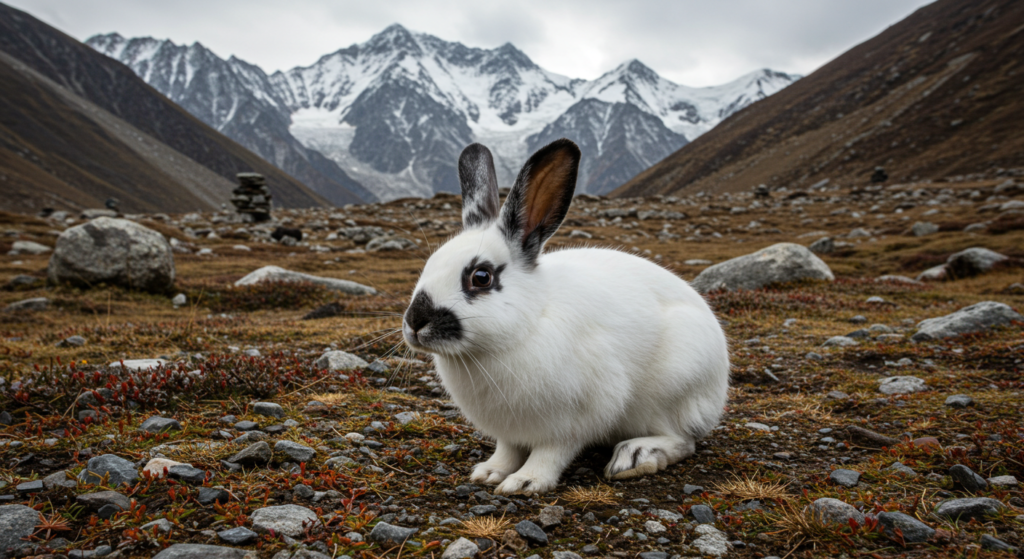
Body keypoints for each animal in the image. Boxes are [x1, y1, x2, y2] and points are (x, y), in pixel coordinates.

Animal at [399, 137, 729, 493]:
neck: (526, 324)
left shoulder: (574, 419)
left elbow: (552, 452)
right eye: (430, 263)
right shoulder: (509, 431)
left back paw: (634, 457)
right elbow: (507, 450)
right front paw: (489, 472)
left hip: (675, 389)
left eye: (481, 277)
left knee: (683, 440)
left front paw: (525, 482)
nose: (415, 322)